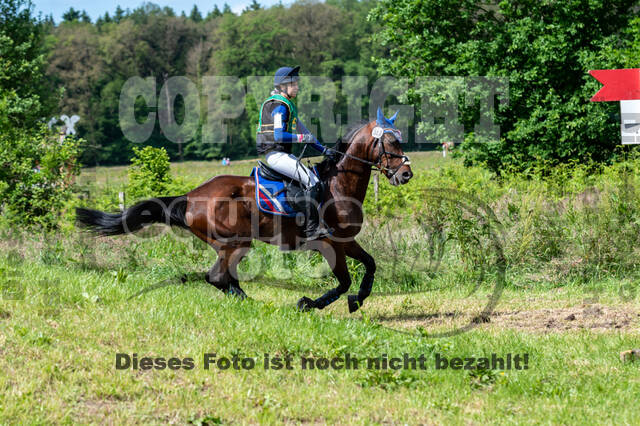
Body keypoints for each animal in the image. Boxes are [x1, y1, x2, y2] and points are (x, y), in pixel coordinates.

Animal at [76, 111, 413, 312]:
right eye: (390, 141)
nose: (406, 174)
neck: (338, 185)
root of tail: (190, 197)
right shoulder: (330, 243)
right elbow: (343, 281)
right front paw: (308, 303)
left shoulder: (346, 241)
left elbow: (370, 265)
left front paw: (358, 299)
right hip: (234, 242)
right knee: (218, 277)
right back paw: (254, 305)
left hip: (231, 244)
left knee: (223, 278)